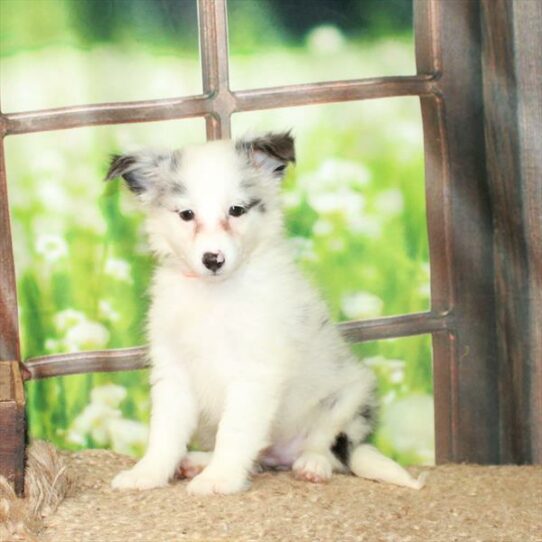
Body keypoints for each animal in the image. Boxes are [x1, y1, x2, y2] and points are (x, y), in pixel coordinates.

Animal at [107, 133, 430, 498]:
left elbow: (234, 431)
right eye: (186, 214)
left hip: (349, 396)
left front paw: (220, 479)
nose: (213, 259)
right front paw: (148, 473)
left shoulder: (256, 371)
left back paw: (312, 465)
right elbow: (165, 431)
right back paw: (201, 461)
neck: (215, 294)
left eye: (237, 210)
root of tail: (282, 454)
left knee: (329, 446)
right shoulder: (173, 368)